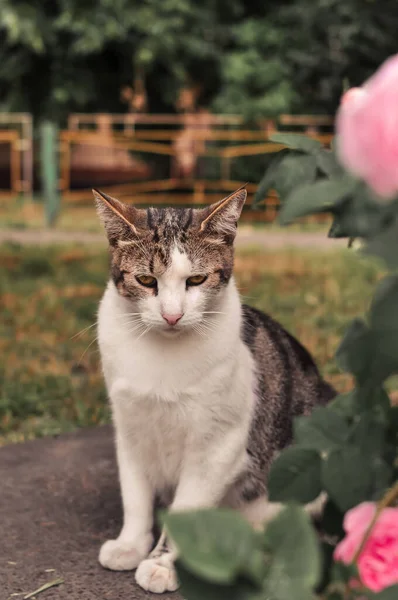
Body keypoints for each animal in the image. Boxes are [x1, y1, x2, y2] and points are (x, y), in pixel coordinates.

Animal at [94, 189, 336, 596]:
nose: (172, 315)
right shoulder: (130, 428)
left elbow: (186, 510)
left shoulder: (217, 445)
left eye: (196, 279)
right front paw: (131, 544)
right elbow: (135, 495)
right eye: (145, 279)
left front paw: (161, 564)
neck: (161, 355)